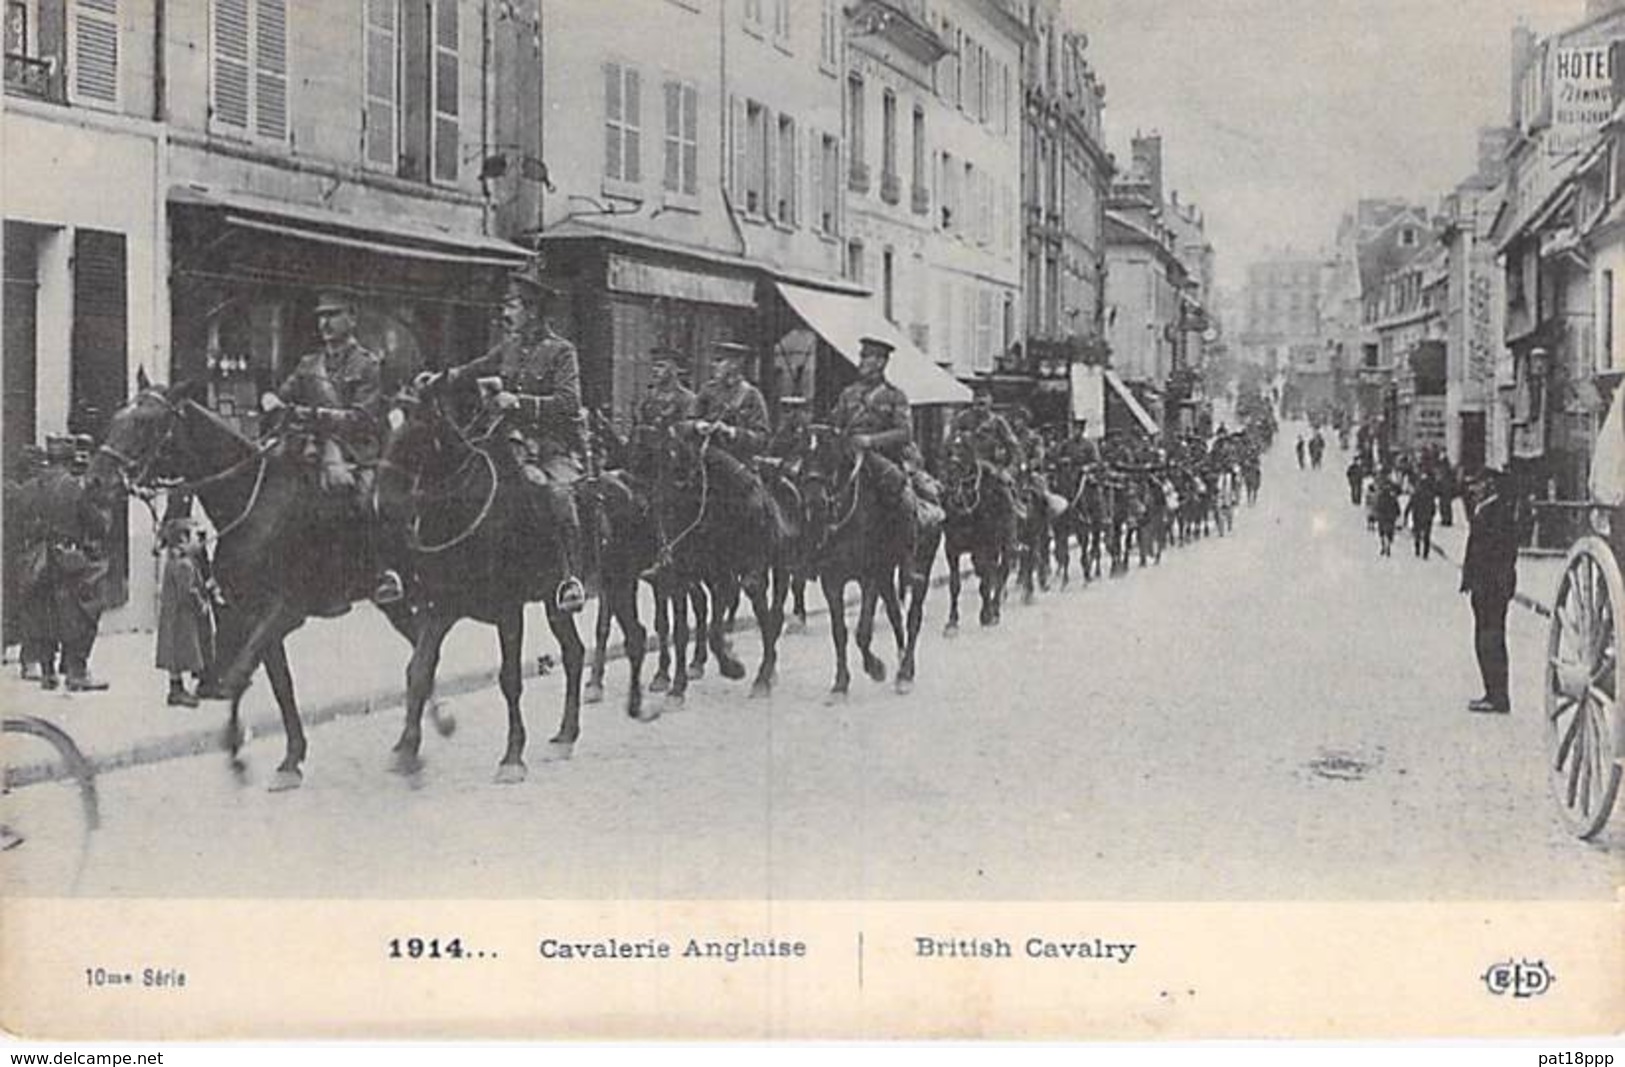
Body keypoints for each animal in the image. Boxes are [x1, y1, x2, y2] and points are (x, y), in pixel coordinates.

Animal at [88, 383, 425, 789]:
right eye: (117, 417)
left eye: (146, 423)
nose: (97, 479)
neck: (254, 502)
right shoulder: (252, 615)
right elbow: (278, 685)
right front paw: (290, 758)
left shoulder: (285, 612)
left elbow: (243, 675)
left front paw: (243, 749)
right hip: (395, 602)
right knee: (419, 649)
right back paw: (411, 737)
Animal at [373, 386, 611, 779]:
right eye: (385, 428)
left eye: (418, 432)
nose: (380, 502)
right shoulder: (441, 608)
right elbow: (419, 670)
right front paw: (407, 750)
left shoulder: (508, 610)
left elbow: (510, 679)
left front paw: (512, 757)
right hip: (551, 604)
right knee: (574, 653)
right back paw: (564, 736)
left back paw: (567, 733)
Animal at [796, 428, 942, 704]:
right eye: (802, 456)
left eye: (830, 454)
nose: (815, 503)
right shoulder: (832, 581)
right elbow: (839, 632)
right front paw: (840, 684)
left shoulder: (869, 577)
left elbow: (862, 632)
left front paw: (876, 668)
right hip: (887, 576)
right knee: (896, 614)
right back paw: (902, 664)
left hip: (921, 568)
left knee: (913, 618)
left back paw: (905, 673)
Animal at [942, 438, 1014, 633]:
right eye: (949, 450)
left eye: (965, 450)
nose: (952, 471)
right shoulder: (951, 548)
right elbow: (954, 584)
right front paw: (952, 622)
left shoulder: (983, 546)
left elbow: (986, 581)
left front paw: (987, 615)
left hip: (1005, 543)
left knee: (1002, 570)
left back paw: (995, 610)